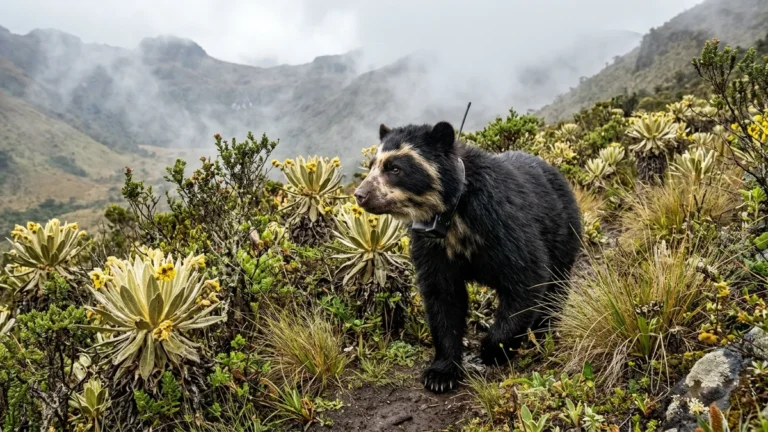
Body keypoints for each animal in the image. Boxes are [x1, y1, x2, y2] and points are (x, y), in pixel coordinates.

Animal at [353, 121, 582, 393]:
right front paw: (440, 375)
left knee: (556, 286)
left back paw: (543, 329)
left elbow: (527, 275)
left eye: (395, 168)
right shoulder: (431, 245)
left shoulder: (500, 221)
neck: (451, 216)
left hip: (564, 233)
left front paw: (492, 349)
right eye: (371, 166)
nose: (360, 194)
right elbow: (442, 296)